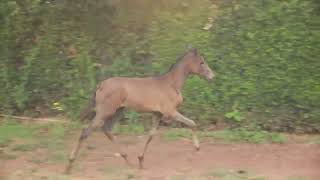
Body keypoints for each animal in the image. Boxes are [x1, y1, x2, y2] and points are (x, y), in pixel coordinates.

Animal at [64, 47, 215, 173]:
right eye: (201, 62)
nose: (212, 76)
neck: (171, 84)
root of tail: (100, 85)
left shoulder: (157, 115)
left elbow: (151, 135)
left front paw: (140, 160)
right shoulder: (170, 112)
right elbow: (192, 123)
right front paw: (197, 148)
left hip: (118, 111)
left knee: (107, 129)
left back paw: (127, 159)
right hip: (105, 112)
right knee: (86, 131)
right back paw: (69, 166)